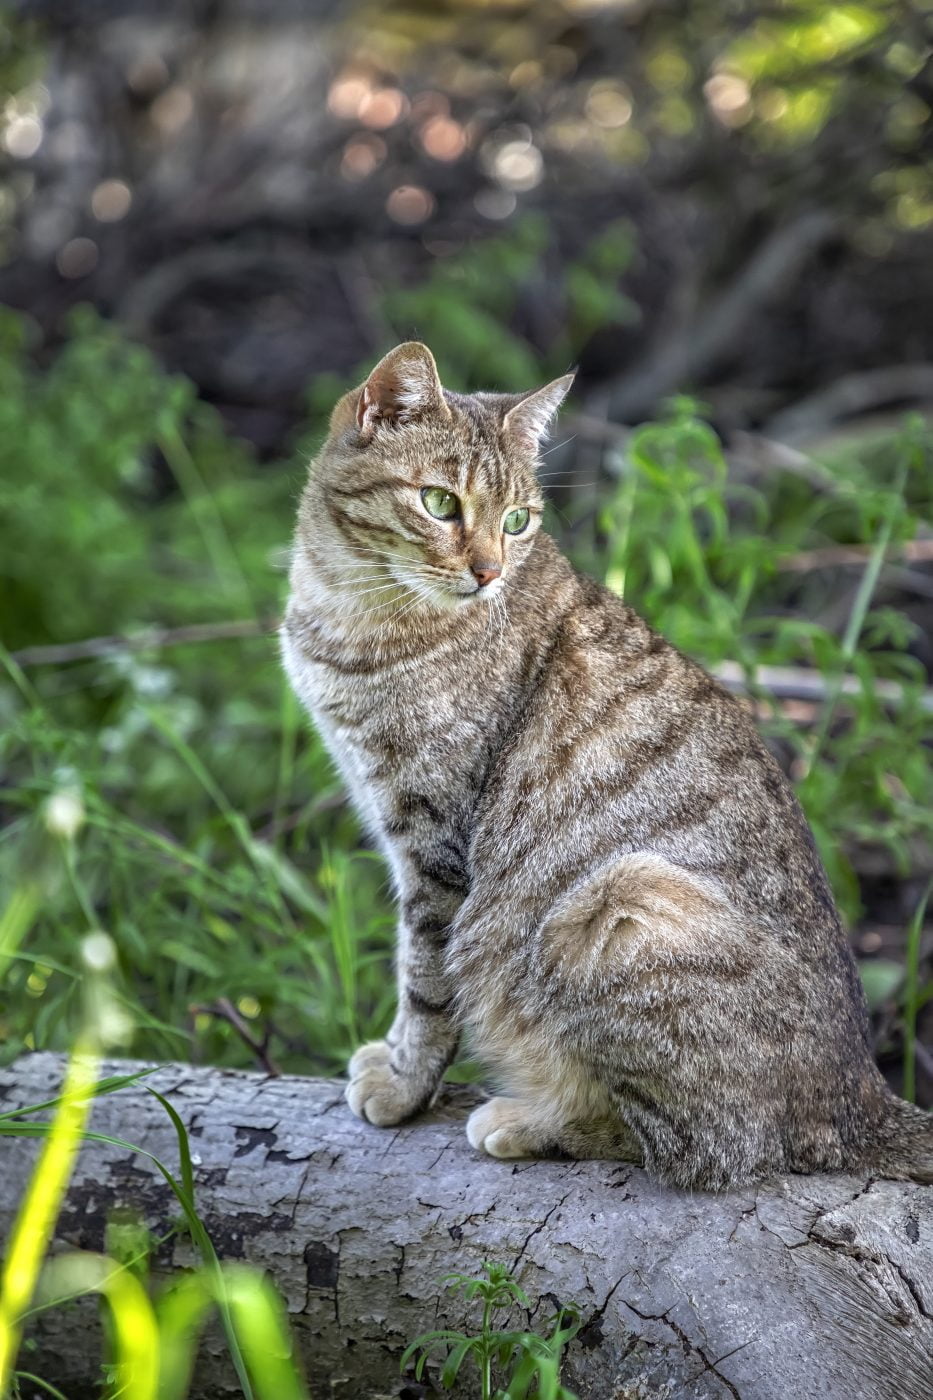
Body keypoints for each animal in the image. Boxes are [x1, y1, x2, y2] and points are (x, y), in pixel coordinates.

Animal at [282, 338, 930, 1181]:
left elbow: (424, 981)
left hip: (618, 902)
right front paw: (394, 1062)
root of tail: (863, 1098)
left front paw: (403, 1082)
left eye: (516, 521)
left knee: (699, 1146)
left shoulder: (434, 845)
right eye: (439, 504)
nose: (488, 572)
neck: (347, 606)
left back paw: (530, 1120)